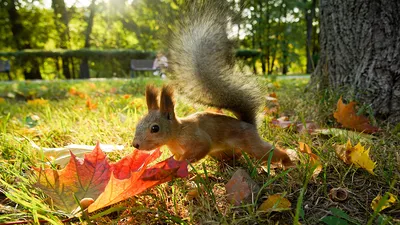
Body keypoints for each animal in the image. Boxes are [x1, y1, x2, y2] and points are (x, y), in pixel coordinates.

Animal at [133, 0, 292, 167]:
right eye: (138, 123)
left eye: (155, 128)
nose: (135, 144)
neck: (176, 134)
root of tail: (249, 125)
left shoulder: (197, 138)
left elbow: (202, 147)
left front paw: (183, 163)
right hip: (222, 152)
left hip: (252, 143)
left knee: (268, 152)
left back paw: (288, 161)